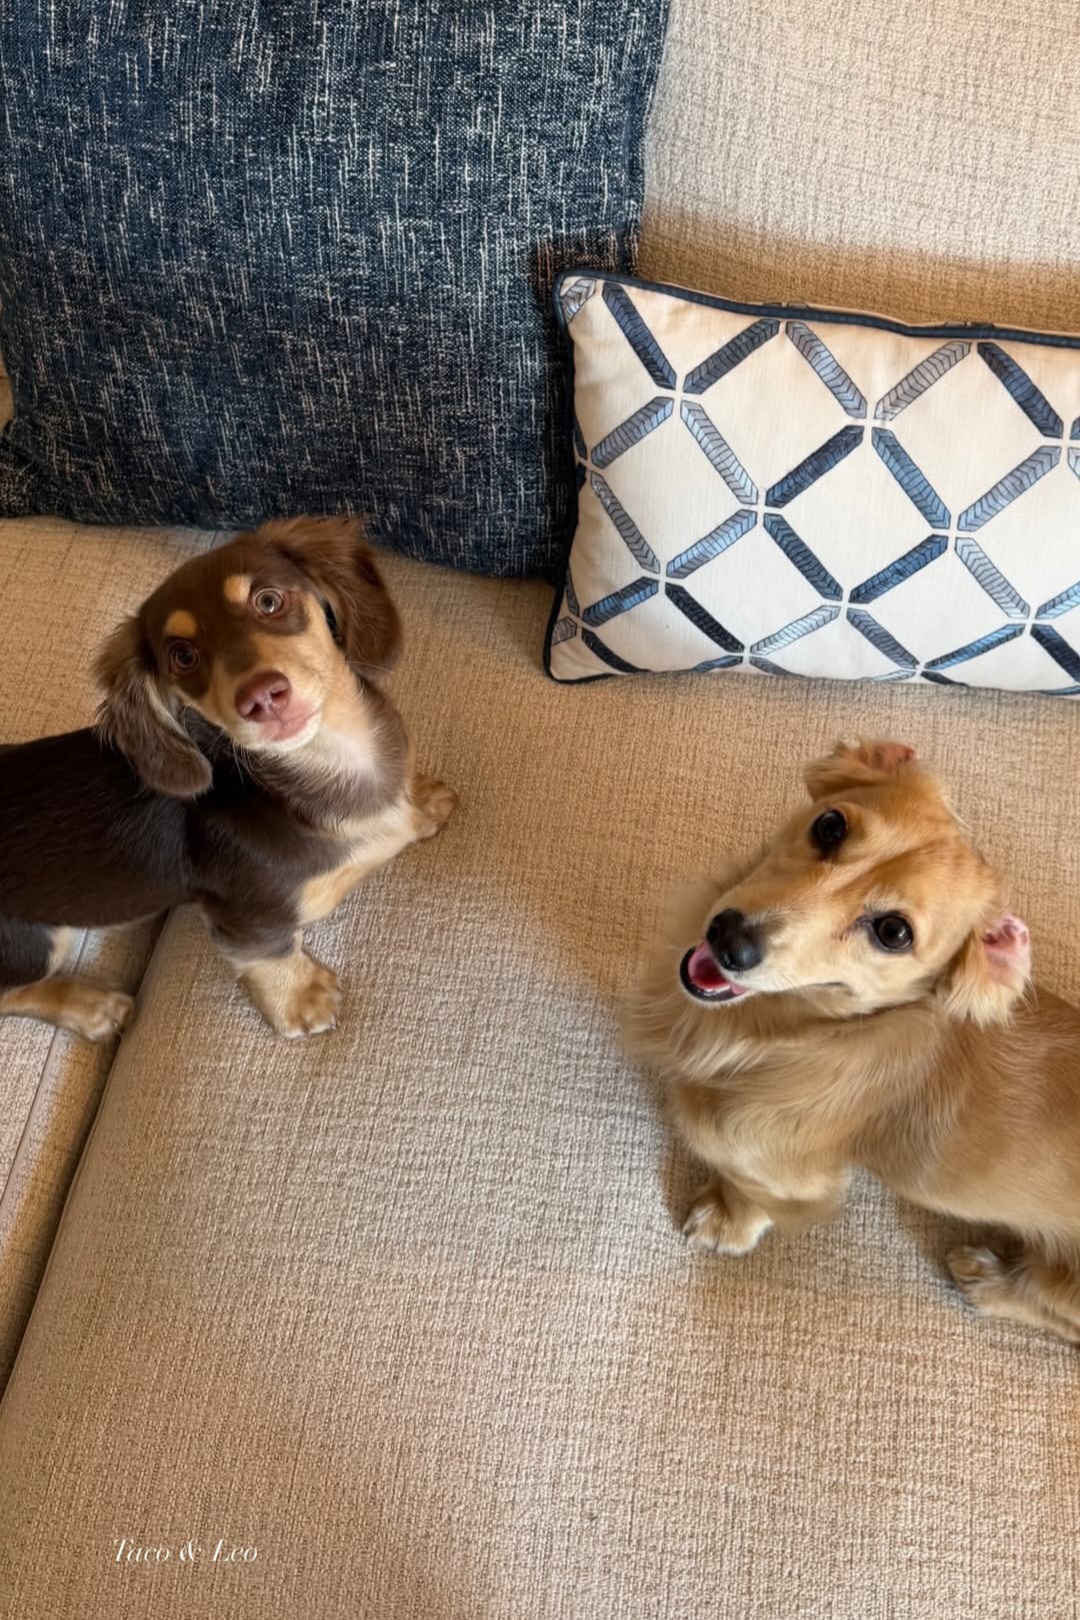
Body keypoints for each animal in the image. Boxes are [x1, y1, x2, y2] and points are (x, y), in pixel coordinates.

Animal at [0, 516, 457, 1041]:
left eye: (269, 602)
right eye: (183, 656)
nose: (261, 697)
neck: (328, 761)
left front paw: (422, 800)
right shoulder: (242, 918)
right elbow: (269, 954)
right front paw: (300, 998)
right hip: (33, 940)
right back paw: (91, 1005)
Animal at [629, 738, 1080, 1343]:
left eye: (893, 932)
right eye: (830, 826)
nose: (729, 938)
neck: (802, 1029)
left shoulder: (775, 1166)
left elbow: (748, 1188)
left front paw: (726, 1219)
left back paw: (990, 1282)